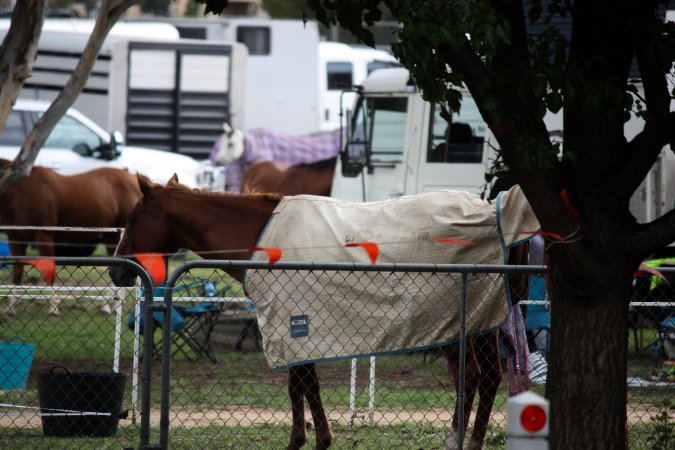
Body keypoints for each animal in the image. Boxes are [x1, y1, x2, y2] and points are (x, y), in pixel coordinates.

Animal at [0, 159, 142, 316]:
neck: (20, 190)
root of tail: (132, 178)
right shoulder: (15, 237)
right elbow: (17, 272)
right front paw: (11, 307)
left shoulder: (44, 236)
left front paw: (53, 308)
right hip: (111, 236)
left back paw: (107, 306)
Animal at [109, 174, 534, 450]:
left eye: (131, 219)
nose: (117, 272)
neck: (264, 239)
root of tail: (496, 215)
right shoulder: (298, 327)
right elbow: (302, 385)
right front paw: (314, 437)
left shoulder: (293, 323)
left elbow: (302, 384)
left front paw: (307, 441)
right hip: (475, 321)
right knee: (483, 376)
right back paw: (467, 439)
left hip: (461, 320)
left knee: (476, 376)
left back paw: (461, 439)